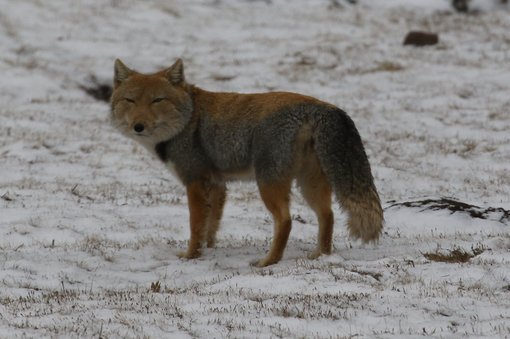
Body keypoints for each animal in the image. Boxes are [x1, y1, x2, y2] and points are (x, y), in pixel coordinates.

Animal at [111, 59, 382, 268]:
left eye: (157, 100)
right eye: (130, 100)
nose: (138, 126)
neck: (188, 120)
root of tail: (318, 106)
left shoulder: (195, 183)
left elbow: (196, 226)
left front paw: (191, 256)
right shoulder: (217, 185)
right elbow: (211, 227)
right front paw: (208, 251)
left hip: (269, 185)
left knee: (286, 221)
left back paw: (268, 261)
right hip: (309, 185)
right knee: (328, 215)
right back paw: (320, 256)